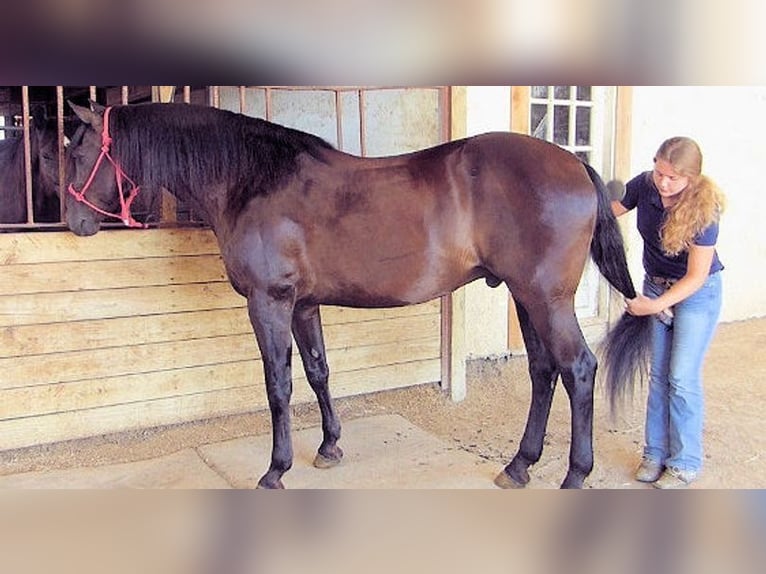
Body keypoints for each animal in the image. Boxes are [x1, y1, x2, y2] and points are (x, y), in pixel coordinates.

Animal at [64, 101, 650, 489]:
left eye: (80, 149)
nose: (73, 221)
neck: (254, 181)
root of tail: (575, 164)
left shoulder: (268, 302)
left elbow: (278, 386)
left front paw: (276, 469)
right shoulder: (302, 304)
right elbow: (319, 371)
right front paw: (329, 447)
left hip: (545, 299)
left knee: (577, 369)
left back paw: (574, 475)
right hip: (525, 297)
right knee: (543, 371)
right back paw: (519, 465)